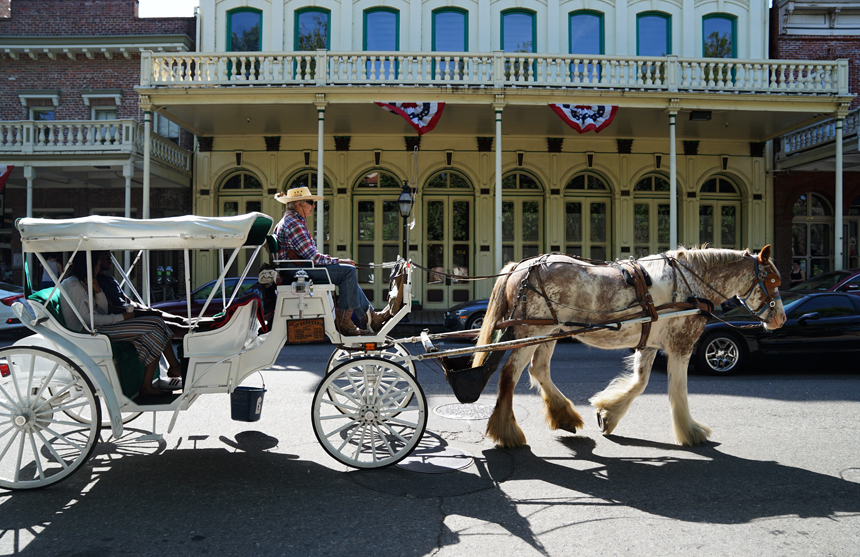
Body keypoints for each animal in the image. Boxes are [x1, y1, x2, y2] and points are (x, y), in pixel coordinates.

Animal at [474, 245, 788, 450]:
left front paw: (608, 414)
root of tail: (521, 266)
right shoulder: (681, 344)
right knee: (509, 375)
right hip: (532, 331)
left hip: (549, 331)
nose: (782, 318)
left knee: (538, 370)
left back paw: (564, 415)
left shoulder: (649, 344)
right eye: (772, 280)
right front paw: (691, 431)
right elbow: (678, 389)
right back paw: (507, 432)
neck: (690, 283)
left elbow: (640, 382)